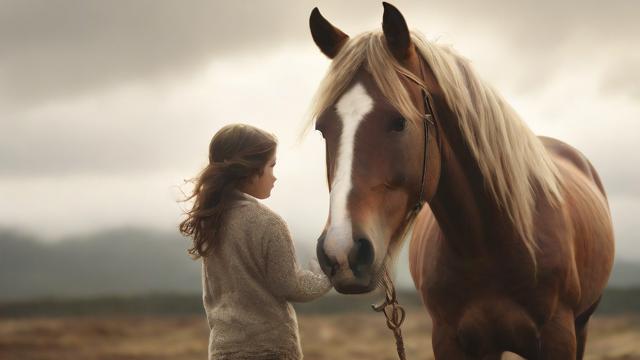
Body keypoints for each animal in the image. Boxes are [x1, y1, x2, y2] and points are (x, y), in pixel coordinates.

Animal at [308, 2, 616, 360]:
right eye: (322, 129)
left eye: (399, 122)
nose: (341, 252)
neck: (489, 246)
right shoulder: (449, 340)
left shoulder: (559, 338)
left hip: (581, 326)